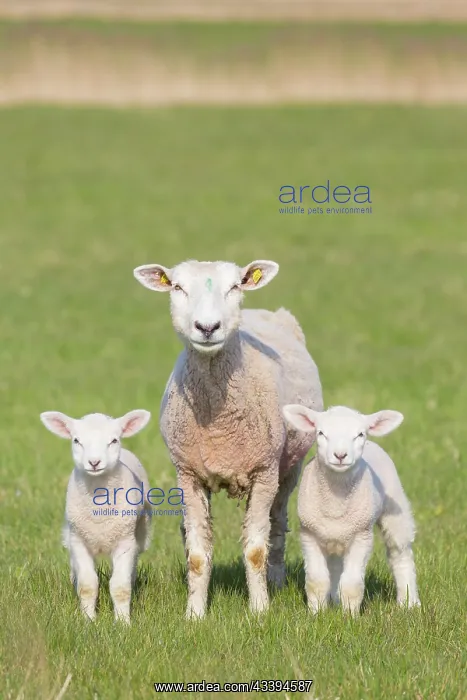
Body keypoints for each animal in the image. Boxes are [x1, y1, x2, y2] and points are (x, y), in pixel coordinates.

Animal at [40, 409, 152, 623]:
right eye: (76, 440)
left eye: (114, 440)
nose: (94, 462)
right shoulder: (79, 541)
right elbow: (87, 585)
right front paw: (88, 620)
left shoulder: (125, 542)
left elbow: (120, 586)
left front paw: (123, 622)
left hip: (141, 534)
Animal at [133, 259, 323, 618]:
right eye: (177, 287)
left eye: (234, 287)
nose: (207, 327)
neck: (218, 424)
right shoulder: (188, 475)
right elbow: (196, 554)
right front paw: (194, 614)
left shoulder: (264, 472)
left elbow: (256, 550)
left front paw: (260, 610)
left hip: (288, 467)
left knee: (277, 525)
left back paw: (276, 581)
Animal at [282, 404, 420, 616]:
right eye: (320, 433)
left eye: (360, 434)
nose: (340, 455)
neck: (336, 503)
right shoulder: (309, 535)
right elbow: (317, 581)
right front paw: (316, 614)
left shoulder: (361, 537)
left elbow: (352, 584)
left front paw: (350, 617)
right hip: (334, 536)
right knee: (335, 567)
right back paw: (334, 601)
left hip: (395, 511)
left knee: (401, 555)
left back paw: (408, 602)